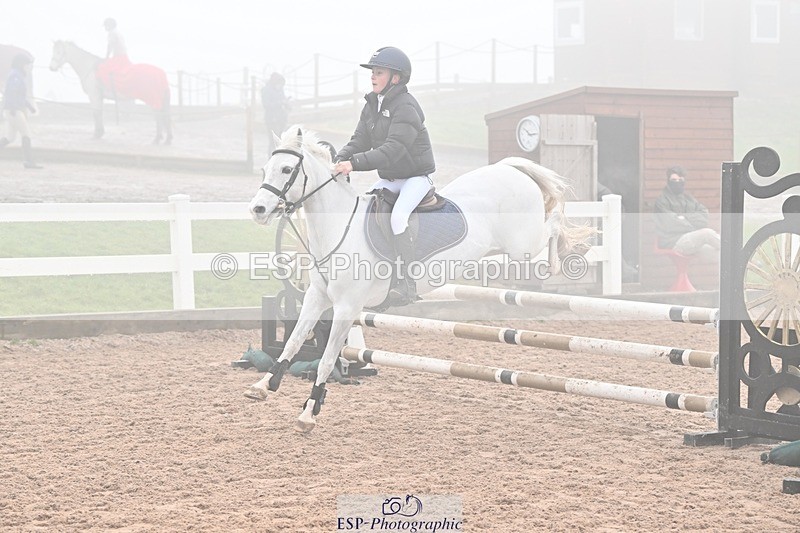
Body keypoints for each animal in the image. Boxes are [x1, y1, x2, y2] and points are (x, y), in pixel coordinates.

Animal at [247, 126, 592, 432]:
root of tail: (510, 169)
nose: (258, 209)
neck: (338, 227)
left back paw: (570, 252)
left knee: (553, 226)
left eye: (287, 169)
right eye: (265, 169)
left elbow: (327, 359)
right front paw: (264, 384)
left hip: (525, 246)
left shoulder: (346, 308)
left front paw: (309, 411)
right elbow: (292, 342)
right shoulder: (317, 298)